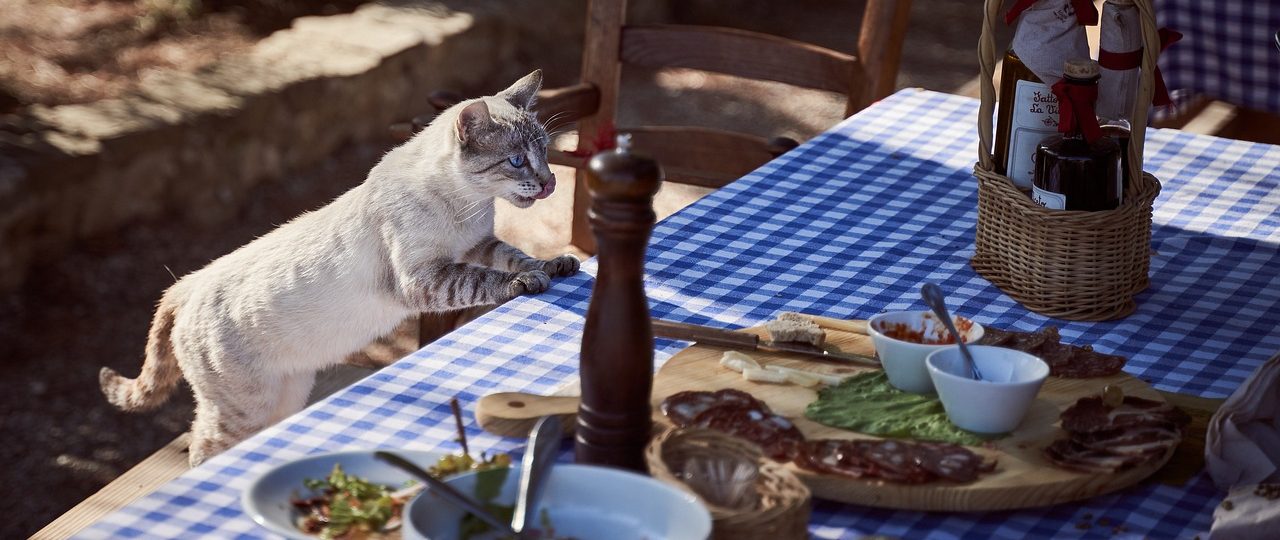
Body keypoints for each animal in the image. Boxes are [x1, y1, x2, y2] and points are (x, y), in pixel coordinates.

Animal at [99, 69, 581, 465]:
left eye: (546, 152)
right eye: (517, 161)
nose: (550, 183)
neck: (469, 206)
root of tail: (188, 282)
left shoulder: (478, 244)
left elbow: (514, 254)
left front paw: (556, 263)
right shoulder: (425, 278)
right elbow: (489, 279)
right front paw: (527, 281)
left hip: (286, 395)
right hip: (244, 407)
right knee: (201, 448)